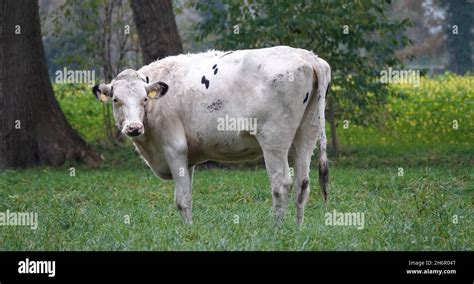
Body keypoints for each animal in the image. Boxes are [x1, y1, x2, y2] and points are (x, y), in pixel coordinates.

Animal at [91, 46, 330, 224]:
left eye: (144, 99)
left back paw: (277, 229)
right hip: (307, 133)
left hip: (274, 139)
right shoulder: (187, 158)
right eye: (116, 100)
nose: (133, 127)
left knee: (281, 185)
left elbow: (183, 200)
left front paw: (188, 232)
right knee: (302, 183)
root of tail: (306, 55)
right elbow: (183, 197)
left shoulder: (174, 148)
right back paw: (297, 228)